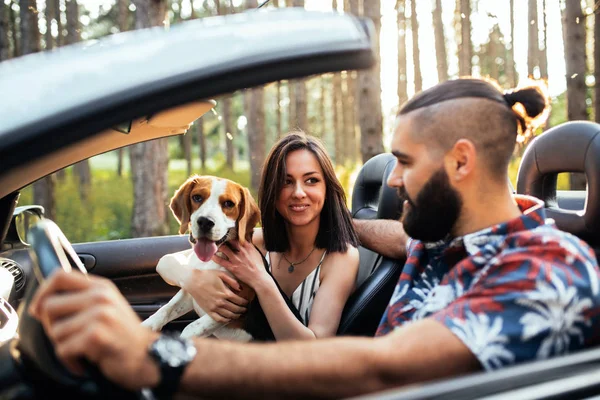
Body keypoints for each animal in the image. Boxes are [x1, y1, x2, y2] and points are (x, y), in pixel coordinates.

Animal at [143, 175, 262, 340]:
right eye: (197, 197)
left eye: (229, 204)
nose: (205, 221)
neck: (211, 260)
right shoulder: (191, 290)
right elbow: (165, 310)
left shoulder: (231, 305)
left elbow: (191, 328)